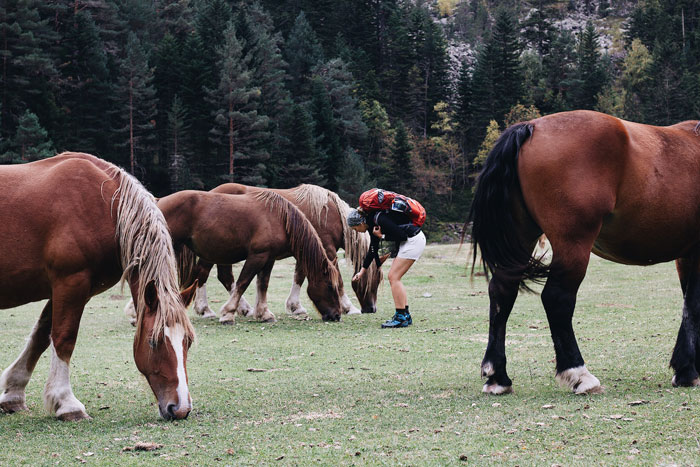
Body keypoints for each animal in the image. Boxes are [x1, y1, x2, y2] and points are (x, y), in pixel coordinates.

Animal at [0, 152, 196, 421]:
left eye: (188, 341)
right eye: (153, 342)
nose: (180, 409)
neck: (106, 206)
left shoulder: (71, 288)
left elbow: (41, 335)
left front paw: (13, 393)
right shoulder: (71, 282)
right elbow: (63, 337)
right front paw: (67, 403)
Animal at [155, 189, 343, 323]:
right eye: (329, 286)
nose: (337, 315)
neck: (279, 218)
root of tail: (158, 201)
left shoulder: (269, 259)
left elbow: (262, 284)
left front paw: (263, 314)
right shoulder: (257, 257)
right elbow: (243, 283)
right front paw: (228, 314)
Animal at [190, 183, 383, 319]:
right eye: (377, 279)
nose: (372, 308)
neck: (331, 213)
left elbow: (299, 276)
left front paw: (295, 306)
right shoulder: (327, 251)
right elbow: (339, 281)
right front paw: (349, 308)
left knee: (224, 276)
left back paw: (244, 309)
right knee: (204, 273)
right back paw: (205, 309)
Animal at [469, 110, 700, 395]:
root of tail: (531, 126)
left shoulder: (686, 254)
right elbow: (694, 305)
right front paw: (688, 370)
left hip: (521, 238)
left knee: (502, 292)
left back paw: (497, 376)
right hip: (574, 244)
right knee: (557, 299)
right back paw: (578, 374)